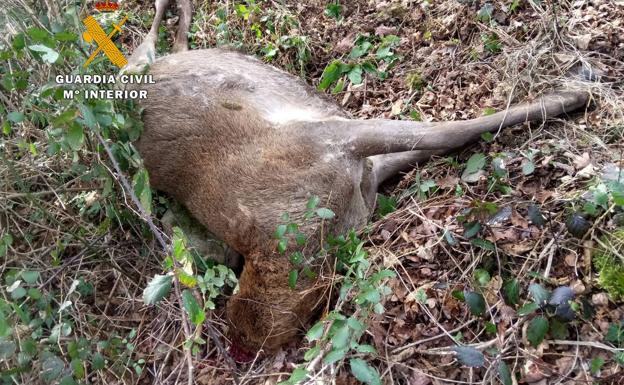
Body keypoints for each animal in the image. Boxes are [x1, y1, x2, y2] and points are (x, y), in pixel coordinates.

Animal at [127, 0, 588, 356]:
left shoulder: (348, 156)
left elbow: (437, 137)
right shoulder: (346, 151)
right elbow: (444, 135)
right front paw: (570, 96)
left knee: (161, 43)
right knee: (152, 47)